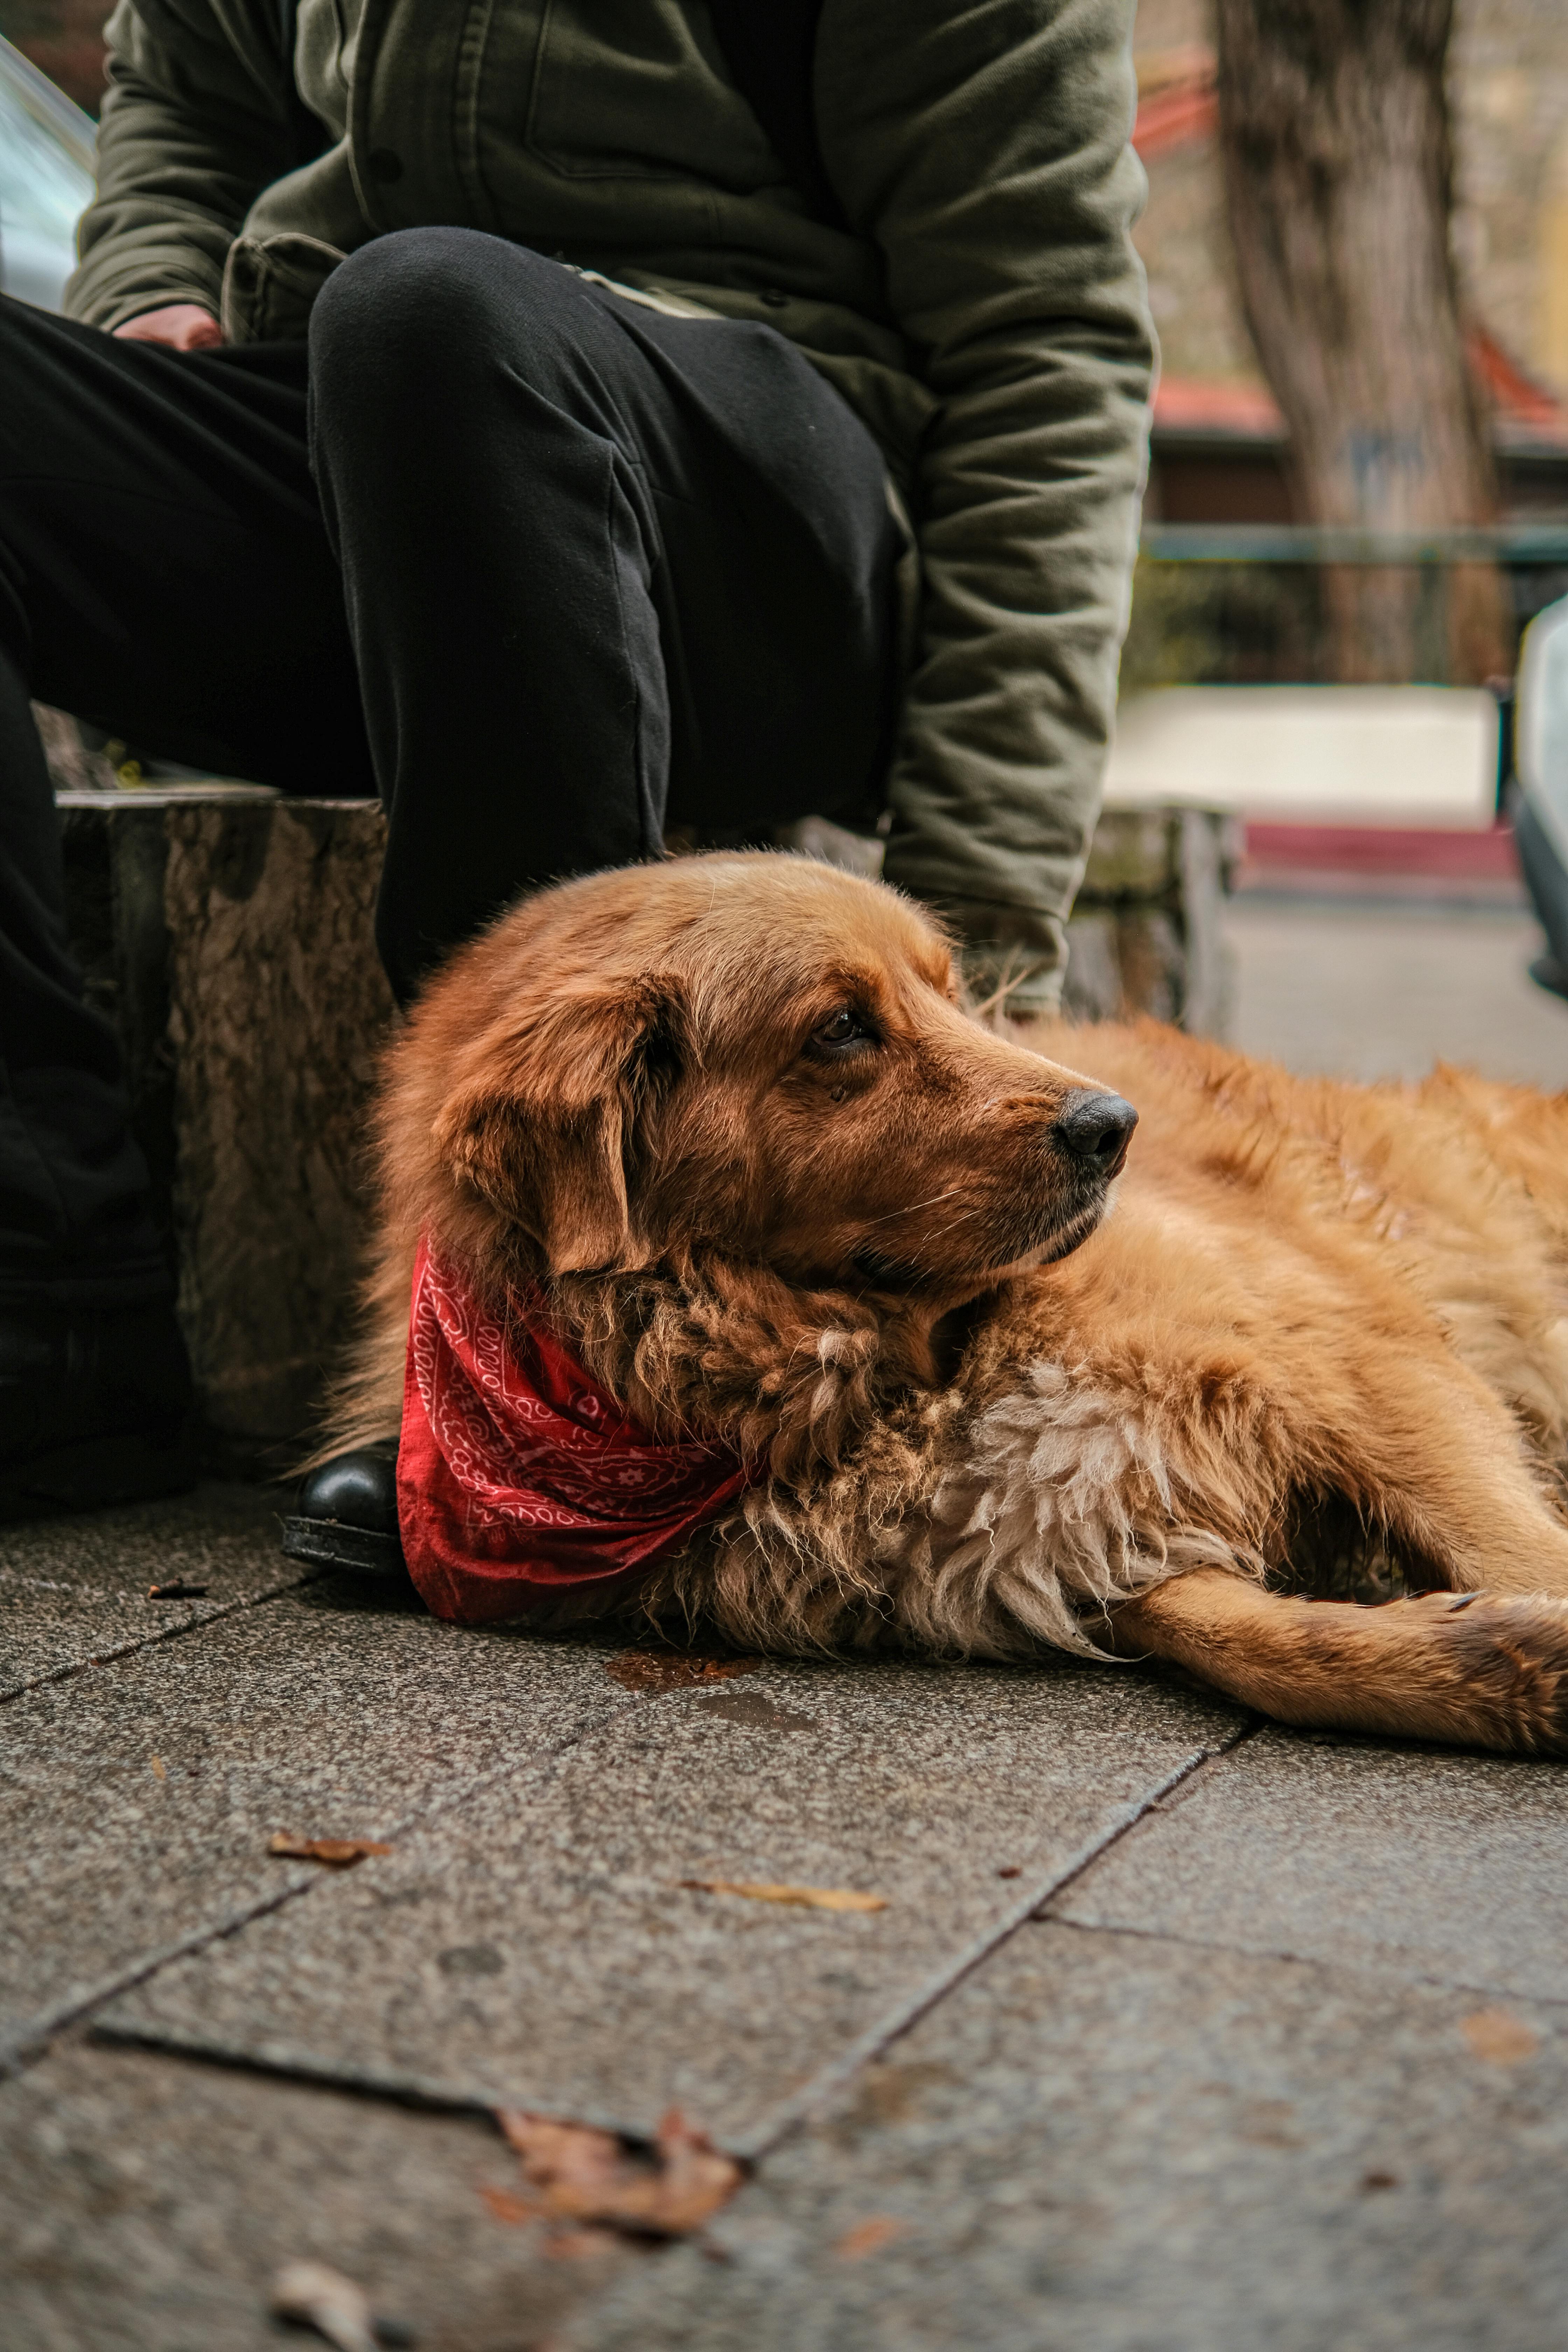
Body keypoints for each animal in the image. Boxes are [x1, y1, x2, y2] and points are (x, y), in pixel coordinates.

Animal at [322, 856, 1568, 1759]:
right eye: (840, 1028)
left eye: (951, 993)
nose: (1114, 1128)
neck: (905, 1380)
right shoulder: (1076, 1540)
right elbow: (1268, 1650)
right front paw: (1505, 1657)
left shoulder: (1363, 1362)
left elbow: (1512, 1545)